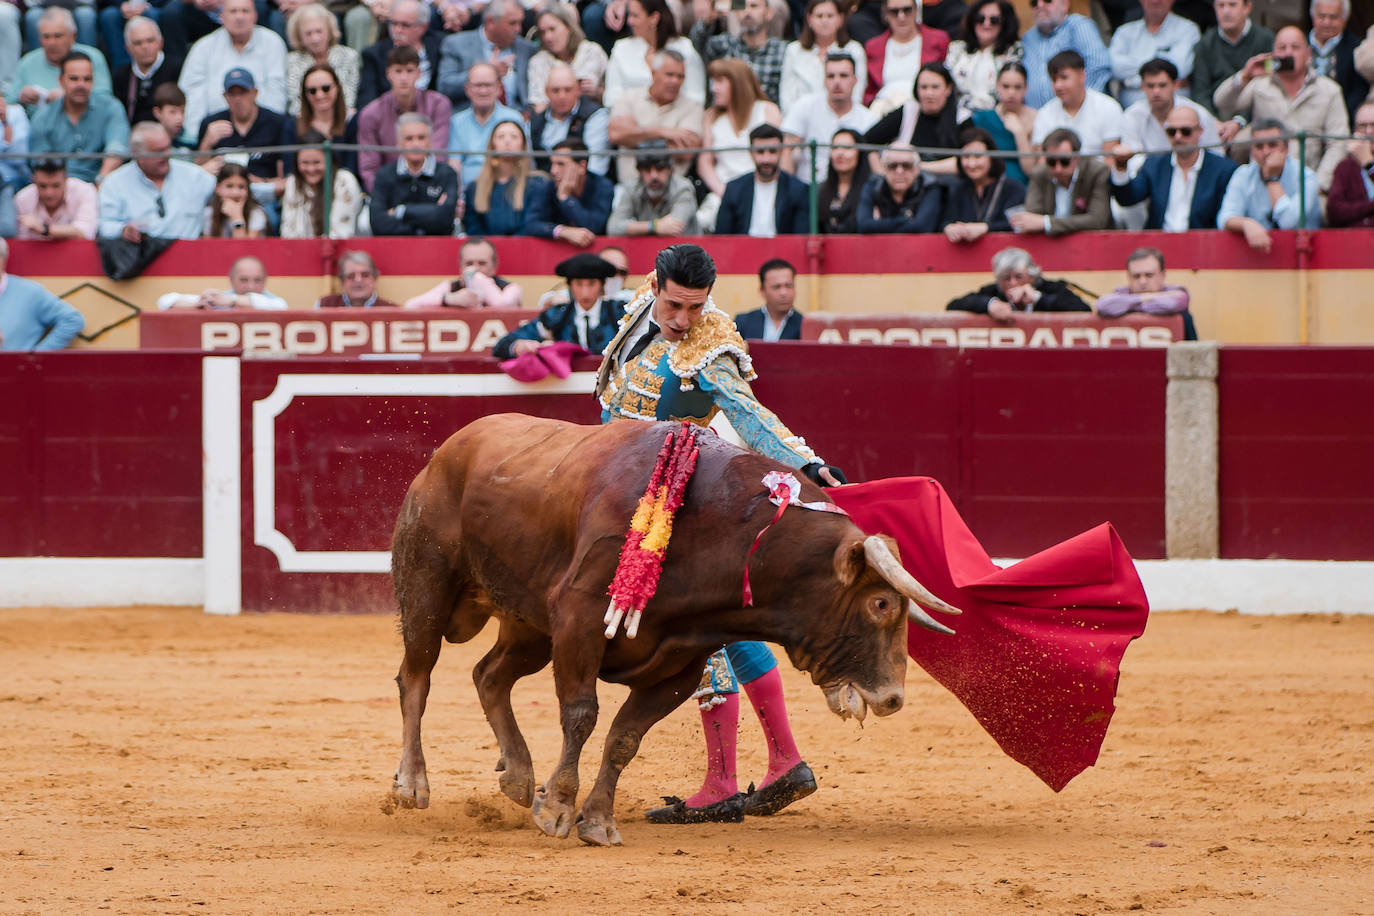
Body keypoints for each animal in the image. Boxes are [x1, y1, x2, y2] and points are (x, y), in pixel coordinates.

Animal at [392, 414, 961, 845]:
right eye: (881, 603)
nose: (892, 698)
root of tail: (447, 451)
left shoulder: (680, 664)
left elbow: (624, 737)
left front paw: (597, 821)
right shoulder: (579, 622)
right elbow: (581, 715)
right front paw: (557, 808)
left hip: (527, 626)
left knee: (489, 675)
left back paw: (517, 774)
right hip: (427, 587)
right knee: (416, 679)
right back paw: (412, 785)